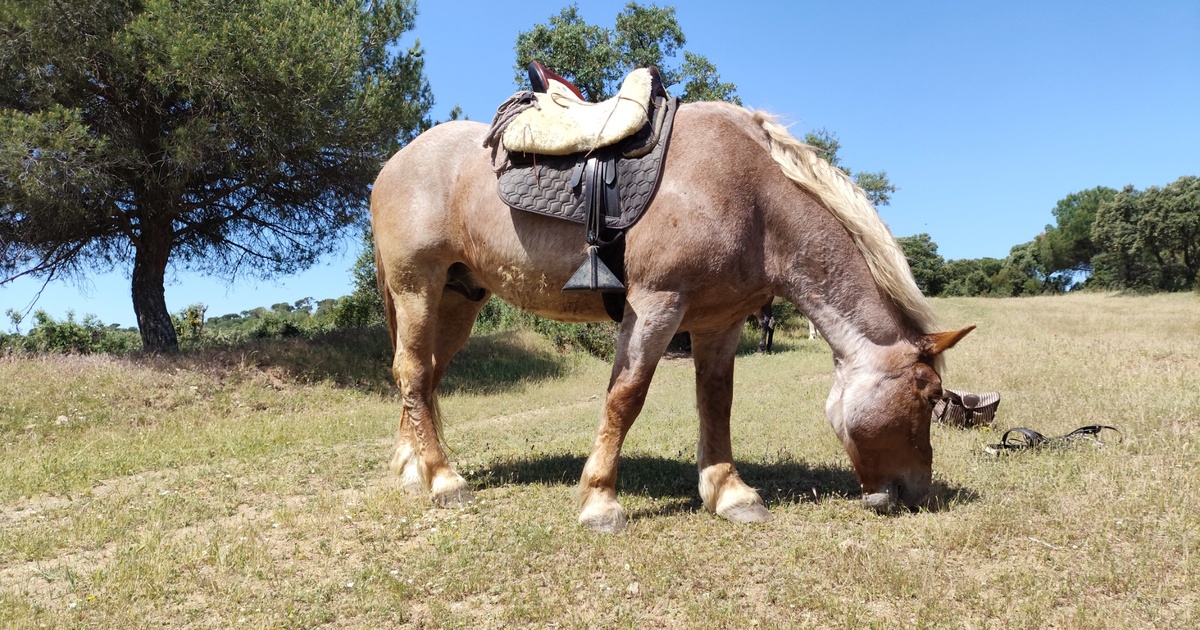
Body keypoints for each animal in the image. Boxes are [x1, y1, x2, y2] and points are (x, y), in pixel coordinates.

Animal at [370, 100, 973, 533]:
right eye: (927, 397)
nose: (916, 494)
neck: (751, 196)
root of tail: (394, 163)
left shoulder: (720, 322)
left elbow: (716, 403)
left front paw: (729, 493)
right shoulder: (656, 305)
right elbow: (625, 398)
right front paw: (600, 501)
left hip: (457, 300)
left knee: (424, 378)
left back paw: (414, 469)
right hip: (417, 288)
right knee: (414, 373)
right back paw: (444, 480)